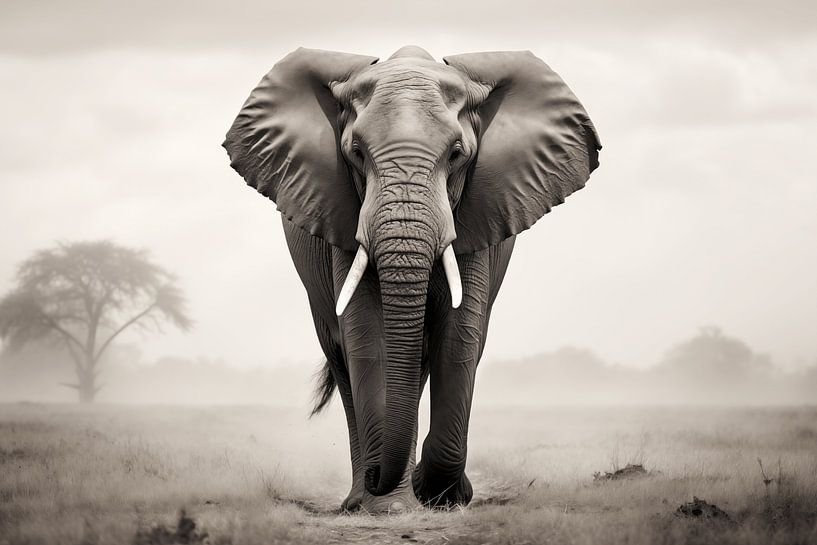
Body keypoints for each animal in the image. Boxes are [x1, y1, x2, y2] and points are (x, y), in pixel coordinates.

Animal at [223, 45, 600, 513]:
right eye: (356, 152)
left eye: (457, 153)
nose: (377, 476)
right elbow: (367, 338)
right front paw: (391, 506)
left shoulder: (477, 216)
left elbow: (460, 337)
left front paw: (441, 494)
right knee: (343, 360)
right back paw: (359, 497)